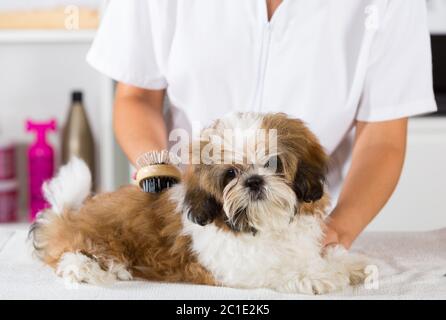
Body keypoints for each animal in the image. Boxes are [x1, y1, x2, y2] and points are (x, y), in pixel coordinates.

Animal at [29, 112, 368, 296]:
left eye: (273, 163)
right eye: (230, 174)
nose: (254, 181)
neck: (264, 224)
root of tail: (69, 215)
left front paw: (344, 263)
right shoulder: (231, 268)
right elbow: (274, 269)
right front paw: (313, 276)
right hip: (87, 240)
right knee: (68, 258)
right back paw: (91, 268)